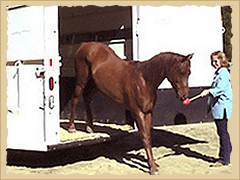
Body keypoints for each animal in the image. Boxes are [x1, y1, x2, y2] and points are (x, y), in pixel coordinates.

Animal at [68, 41, 192, 174]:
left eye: (189, 72)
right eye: (181, 71)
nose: (184, 96)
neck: (145, 81)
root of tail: (85, 45)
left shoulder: (148, 112)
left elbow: (149, 137)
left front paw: (153, 164)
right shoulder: (138, 113)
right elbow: (144, 137)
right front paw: (152, 168)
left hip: (95, 84)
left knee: (87, 98)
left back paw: (89, 127)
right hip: (81, 78)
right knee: (75, 99)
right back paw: (71, 127)